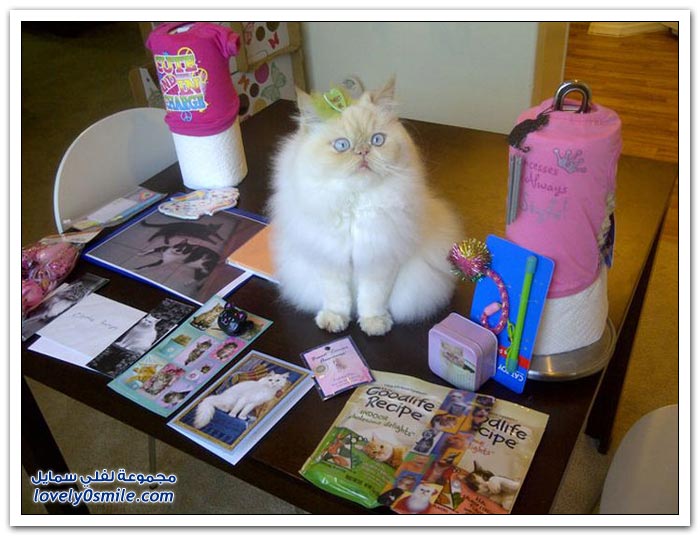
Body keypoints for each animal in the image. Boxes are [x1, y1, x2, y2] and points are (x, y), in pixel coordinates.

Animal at [268, 77, 462, 336]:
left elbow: (372, 299)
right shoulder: (329, 260)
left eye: (377, 140)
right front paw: (335, 320)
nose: (363, 151)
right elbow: (337, 298)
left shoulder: (380, 262)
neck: (355, 204)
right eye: (342, 145)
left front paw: (374, 324)